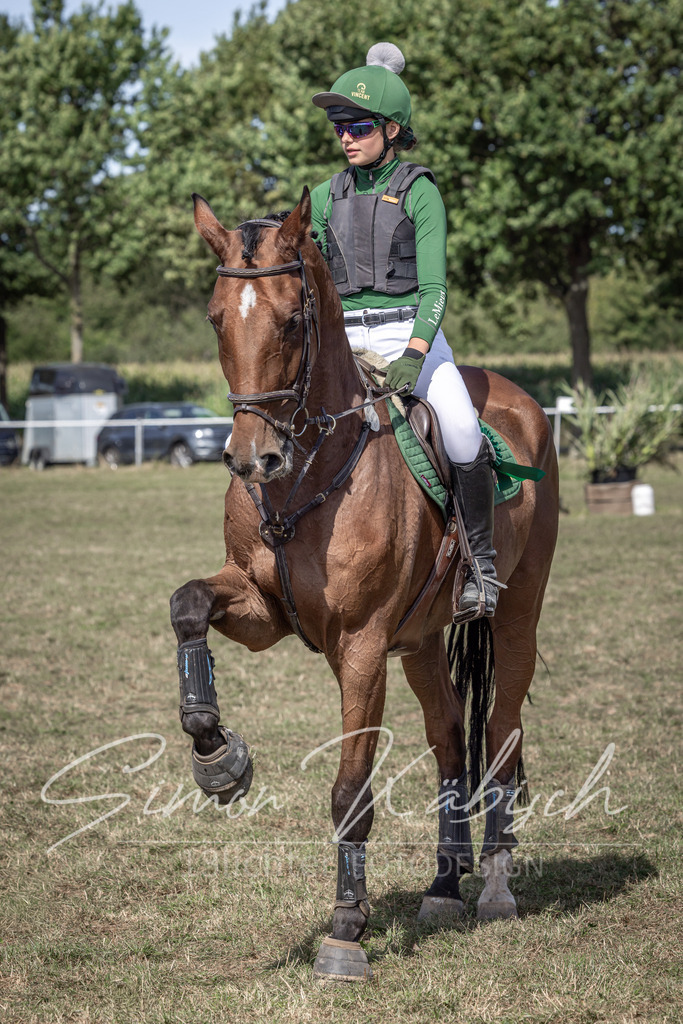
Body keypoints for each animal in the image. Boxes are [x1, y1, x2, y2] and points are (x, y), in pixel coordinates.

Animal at [170, 188, 559, 981]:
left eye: (292, 320)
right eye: (217, 317)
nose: (251, 459)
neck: (306, 471)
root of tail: (520, 400)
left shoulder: (361, 646)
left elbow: (351, 789)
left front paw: (346, 929)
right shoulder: (259, 608)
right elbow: (187, 604)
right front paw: (218, 757)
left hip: (514, 619)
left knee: (501, 734)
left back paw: (495, 887)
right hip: (421, 640)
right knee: (449, 739)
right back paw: (443, 887)